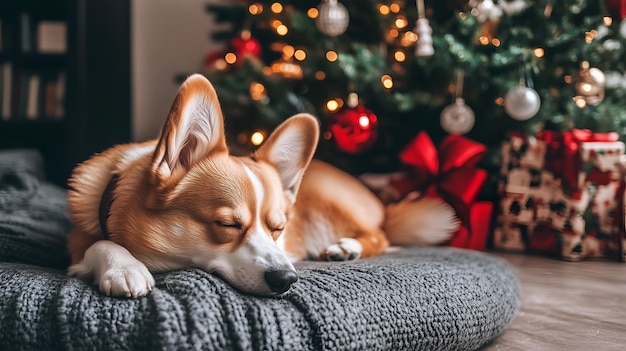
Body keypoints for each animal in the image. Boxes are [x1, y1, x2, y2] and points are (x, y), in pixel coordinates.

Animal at [66, 73, 456, 296]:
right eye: (227, 224)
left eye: (278, 228)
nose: (287, 280)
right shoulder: (78, 241)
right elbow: (99, 243)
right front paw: (126, 267)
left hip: (334, 204)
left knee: (380, 235)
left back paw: (346, 247)